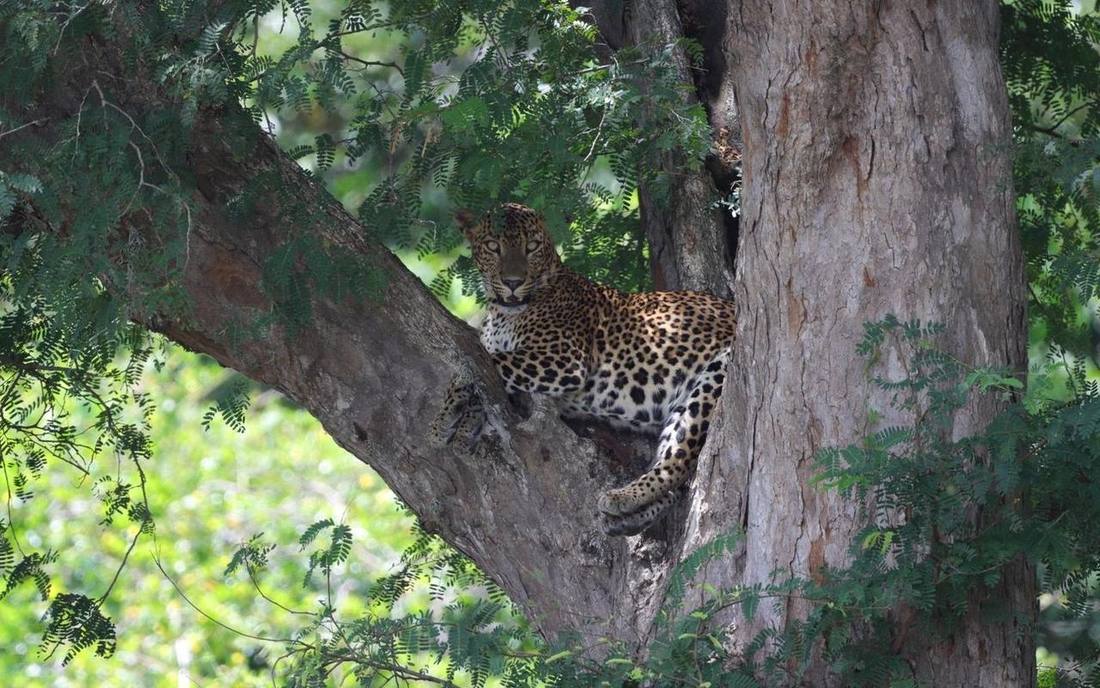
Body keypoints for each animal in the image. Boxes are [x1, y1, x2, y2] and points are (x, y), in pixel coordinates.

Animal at [434, 203, 735, 536]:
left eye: (531, 247)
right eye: (492, 247)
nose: (513, 282)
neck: (502, 313)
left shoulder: (562, 358)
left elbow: (488, 362)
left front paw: (443, 417)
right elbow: (482, 371)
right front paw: (463, 424)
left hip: (717, 371)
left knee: (678, 462)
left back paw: (623, 498)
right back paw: (628, 517)